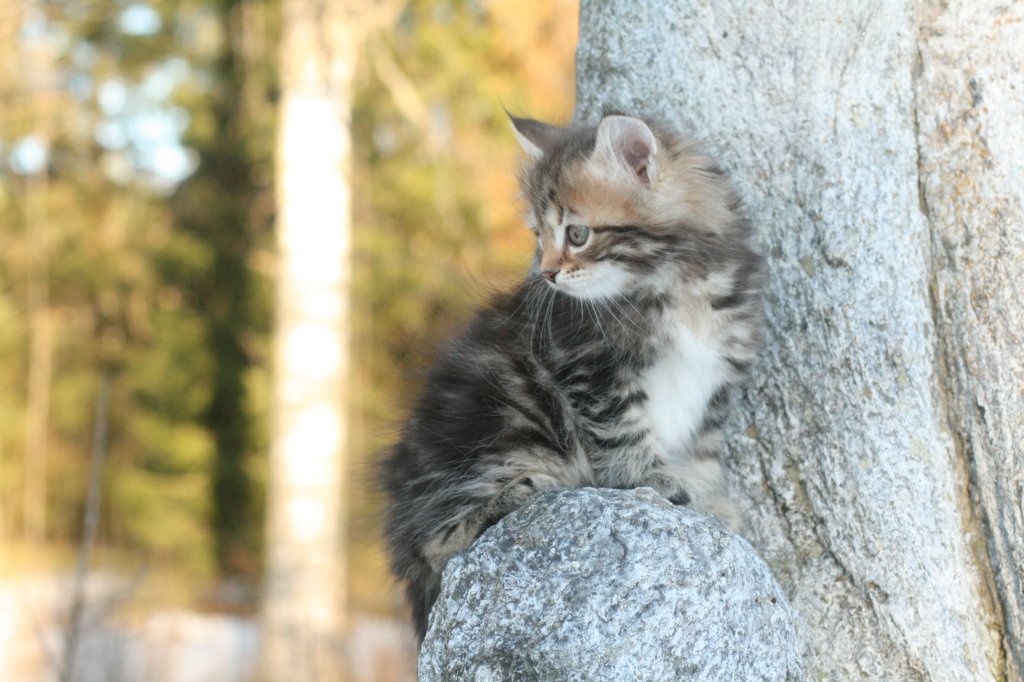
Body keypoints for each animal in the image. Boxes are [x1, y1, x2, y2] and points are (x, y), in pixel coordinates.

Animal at [382, 112, 764, 642]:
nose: (546, 274)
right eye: (538, 237)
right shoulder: (588, 366)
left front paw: (711, 501)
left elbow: (703, 449)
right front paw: (648, 478)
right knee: (439, 544)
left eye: (577, 234)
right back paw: (526, 490)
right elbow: (622, 431)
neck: (675, 282)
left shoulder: (715, 381)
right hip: (503, 420)